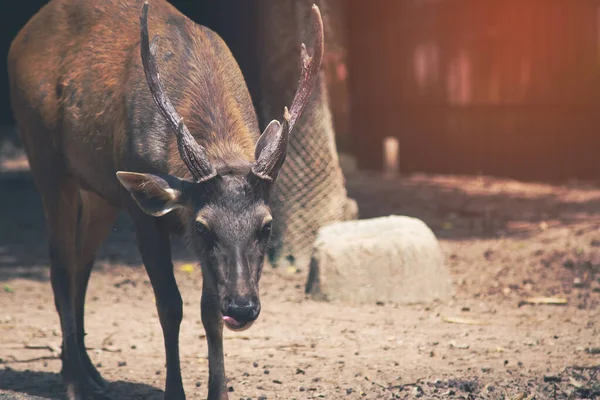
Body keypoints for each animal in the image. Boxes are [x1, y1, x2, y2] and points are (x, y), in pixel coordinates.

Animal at [5, 0, 324, 396]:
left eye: (266, 225)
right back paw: (74, 382)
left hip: (102, 191)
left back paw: (91, 373)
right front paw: (175, 391)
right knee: (60, 267)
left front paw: (219, 392)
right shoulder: (144, 214)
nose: (242, 307)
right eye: (203, 226)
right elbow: (170, 304)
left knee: (81, 264)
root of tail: (23, 35)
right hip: (43, 153)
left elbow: (208, 310)